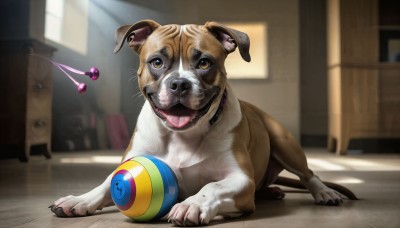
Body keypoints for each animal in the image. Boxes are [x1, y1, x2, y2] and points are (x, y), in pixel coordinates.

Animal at [49, 20, 354, 226]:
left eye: (204, 63)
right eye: (157, 62)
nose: (179, 84)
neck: (182, 135)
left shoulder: (240, 180)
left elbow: (212, 187)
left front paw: (192, 204)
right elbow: (105, 184)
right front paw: (79, 200)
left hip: (285, 144)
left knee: (309, 174)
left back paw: (324, 192)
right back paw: (273, 191)